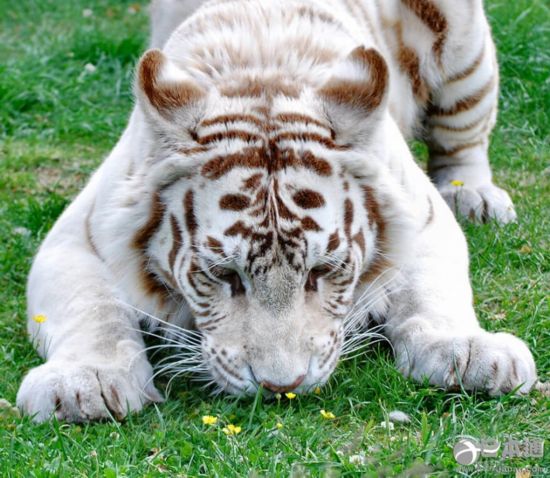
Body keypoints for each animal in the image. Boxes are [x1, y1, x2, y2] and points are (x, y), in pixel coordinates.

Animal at [18, 0, 540, 422]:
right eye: (223, 275)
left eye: (323, 271)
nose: (281, 387)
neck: (261, 73)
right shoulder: (76, 236)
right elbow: (92, 308)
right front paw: (85, 383)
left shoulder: (425, 218)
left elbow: (432, 293)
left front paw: (469, 351)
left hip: (466, 53)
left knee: (464, 140)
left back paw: (475, 196)